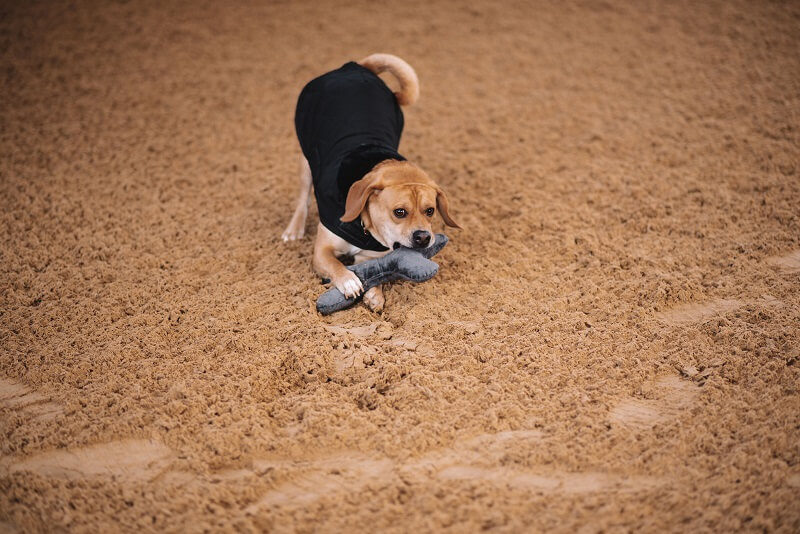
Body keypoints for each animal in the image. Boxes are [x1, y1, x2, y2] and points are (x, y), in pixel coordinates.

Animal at [282, 53, 460, 314]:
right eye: (399, 212)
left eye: (430, 211)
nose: (423, 238)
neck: (363, 226)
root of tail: (356, 67)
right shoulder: (322, 251)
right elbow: (335, 265)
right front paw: (348, 280)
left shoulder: (370, 256)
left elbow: (377, 274)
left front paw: (375, 294)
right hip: (307, 158)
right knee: (303, 198)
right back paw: (294, 229)